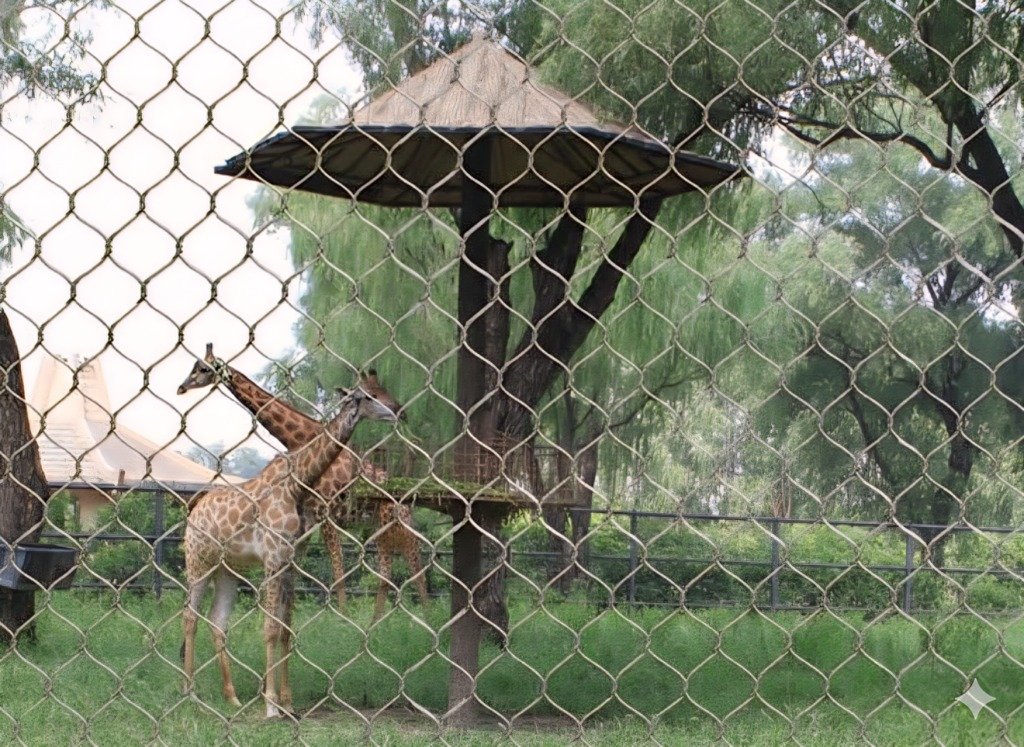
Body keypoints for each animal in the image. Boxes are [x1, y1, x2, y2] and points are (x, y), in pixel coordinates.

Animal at [178, 344, 430, 621]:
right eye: (195, 367)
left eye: (202, 368)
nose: (182, 387)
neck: (301, 438)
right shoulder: (309, 521)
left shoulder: (325, 514)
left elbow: (336, 570)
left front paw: (339, 617)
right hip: (381, 528)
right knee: (387, 573)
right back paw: (381, 620)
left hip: (396, 525)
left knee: (415, 569)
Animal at [181, 371, 401, 718]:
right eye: (367, 396)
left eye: (382, 390)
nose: (397, 411)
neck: (297, 485)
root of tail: (195, 507)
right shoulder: (273, 558)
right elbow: (271, 627)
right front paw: (271, 705)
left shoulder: (290, 561)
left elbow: (286, 627)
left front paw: (287, 702)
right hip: (198, 561)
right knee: (189, 617)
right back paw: (189, 693)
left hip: (227, 569)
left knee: (217, 620)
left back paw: (231, 697)